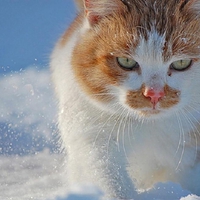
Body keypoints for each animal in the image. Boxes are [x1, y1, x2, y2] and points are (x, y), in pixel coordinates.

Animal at [50, 0, 200, 198]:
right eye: (126, 62)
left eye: (181, 63)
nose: (154, 94)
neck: (150, 125)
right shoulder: (92, 133)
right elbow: (106, 174)